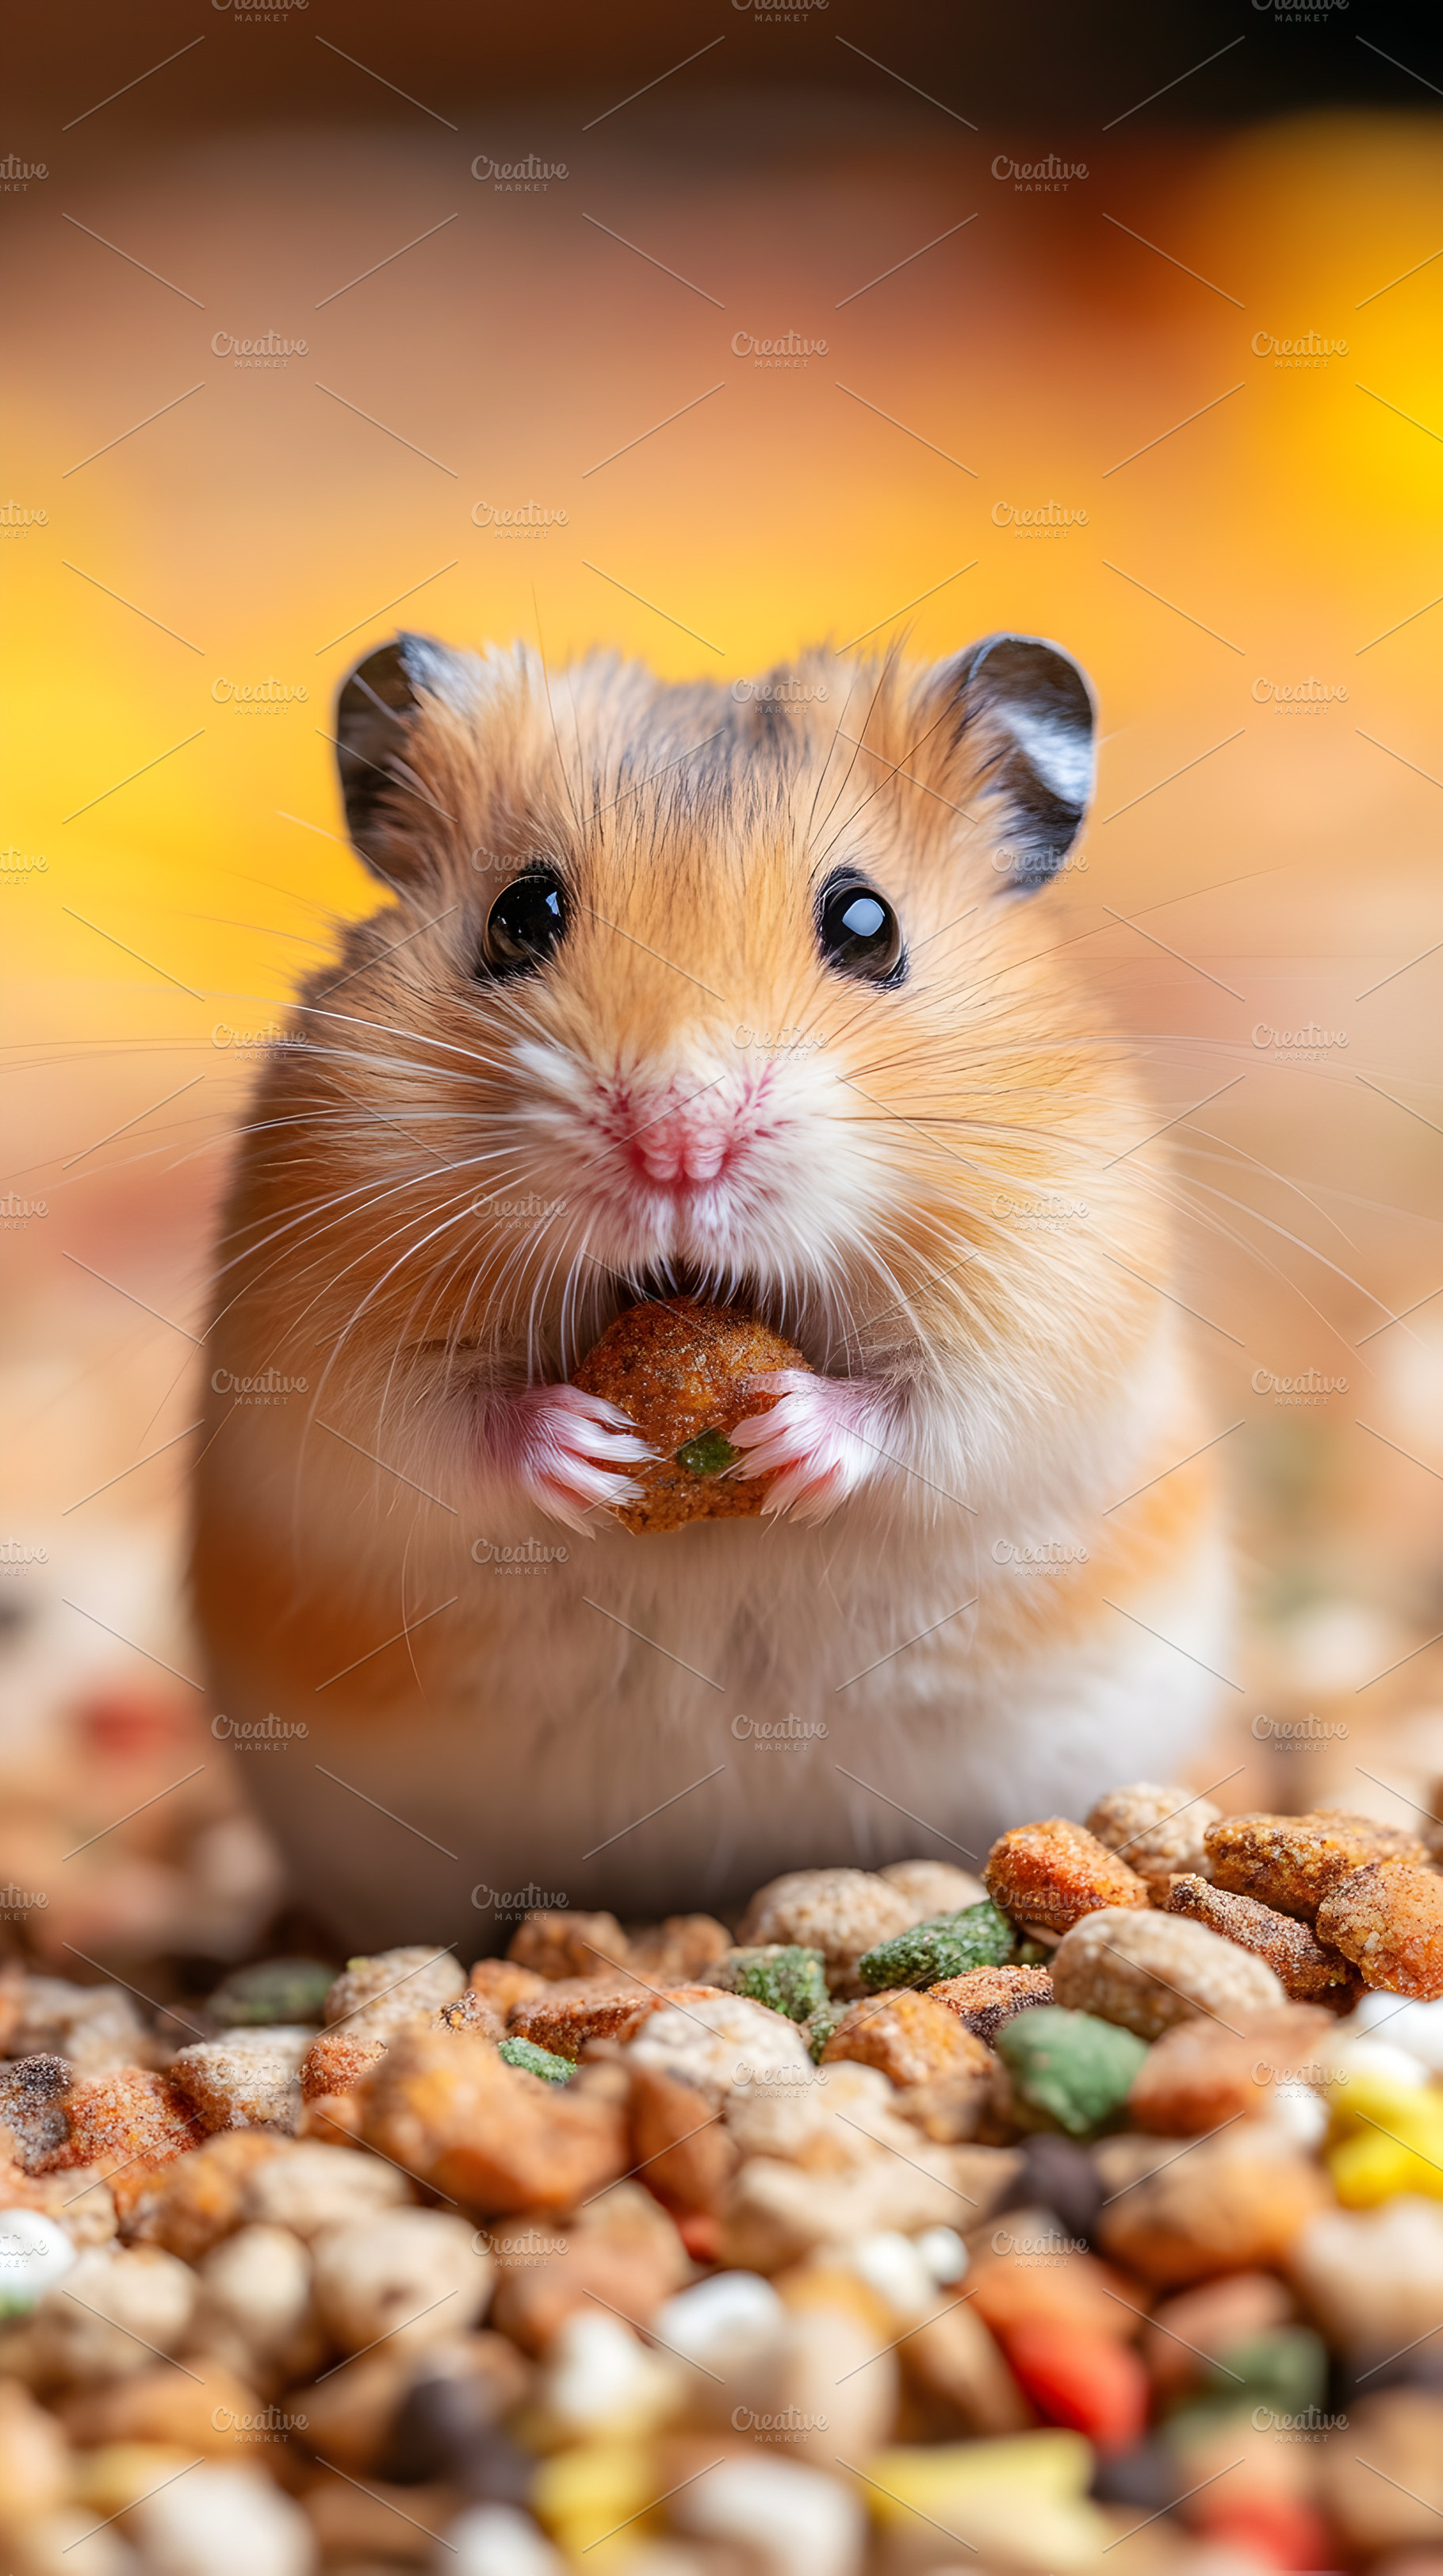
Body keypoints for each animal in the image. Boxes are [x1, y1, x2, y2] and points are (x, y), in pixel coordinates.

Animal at [192, 629, 1230, 1953]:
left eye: (867, 922)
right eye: (521, 913)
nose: (678, 1147)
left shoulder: (1052, 1291)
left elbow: (937, 1411)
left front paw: (784, 1433)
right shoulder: (312, 1336)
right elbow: (425, 1427)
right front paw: (591, 1448)